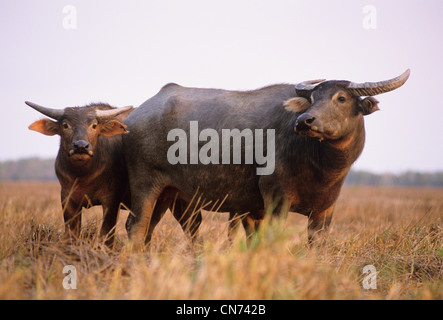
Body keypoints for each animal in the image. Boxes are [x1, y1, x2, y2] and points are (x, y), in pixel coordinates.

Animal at [123, 69, 412, 250]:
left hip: (169, 194)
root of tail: (135, 115)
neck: (320, 166)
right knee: (136, 228)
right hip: (145, 186)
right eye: (313, 98)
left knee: (148, 230)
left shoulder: (324, 211)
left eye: (341, 98)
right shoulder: (275, 201)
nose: (304, 121)